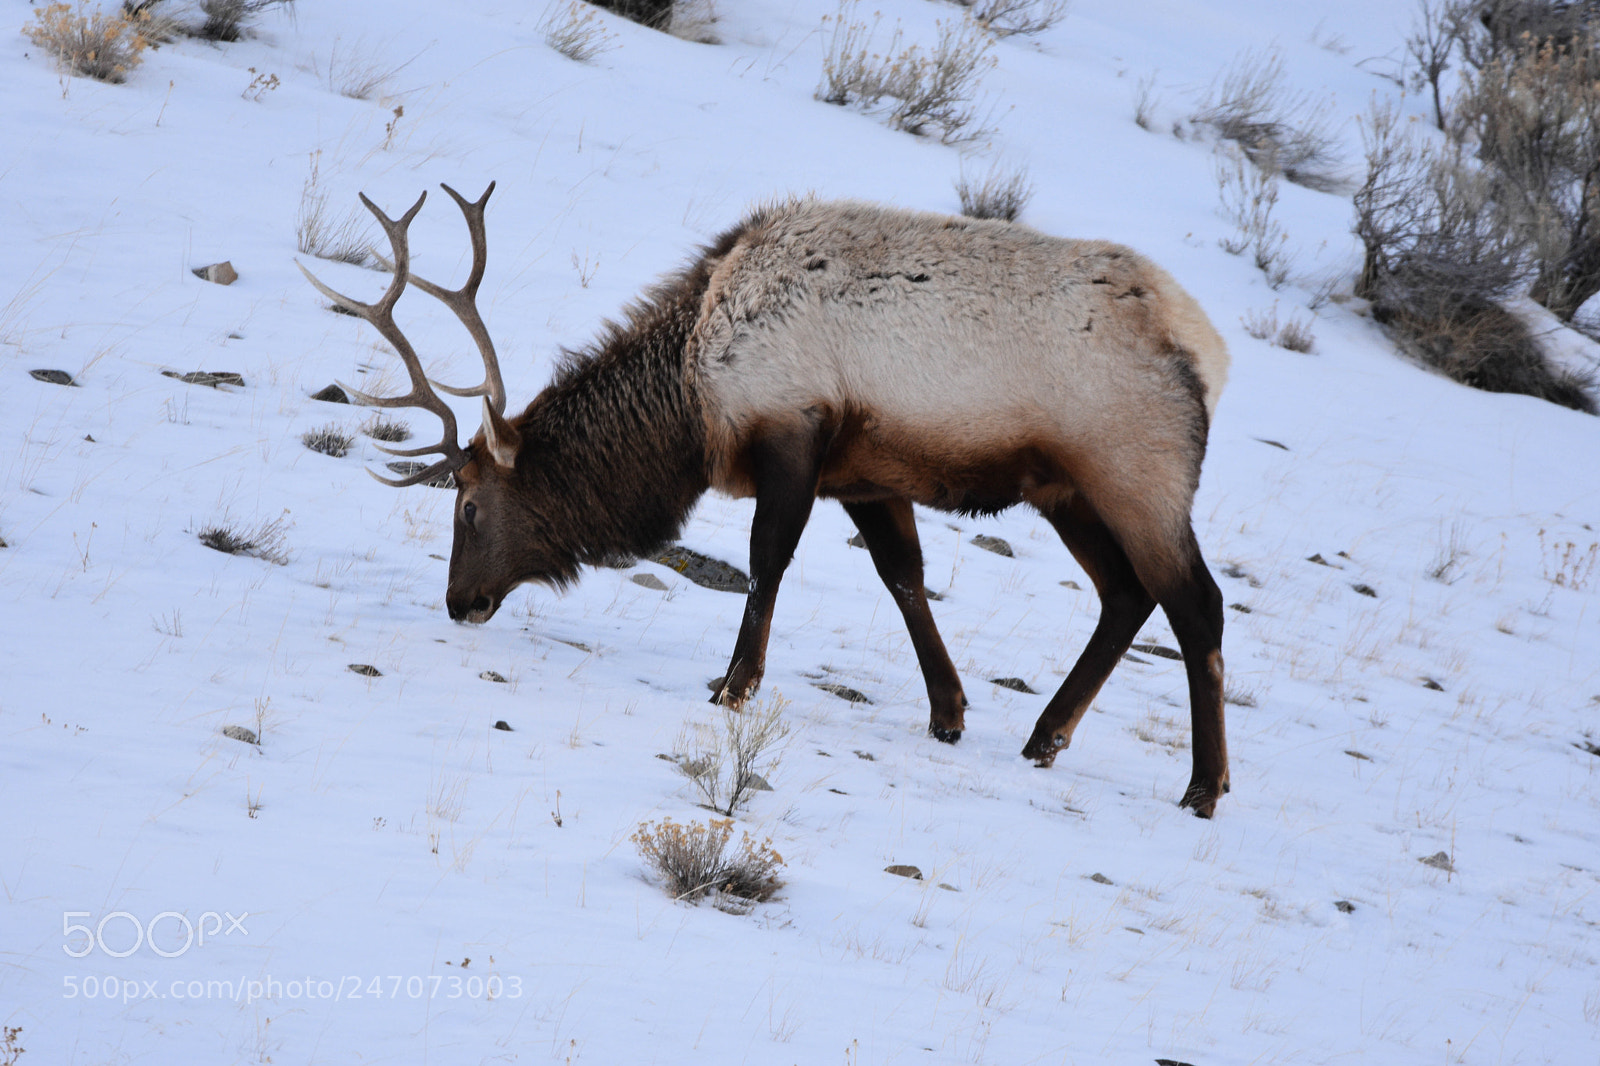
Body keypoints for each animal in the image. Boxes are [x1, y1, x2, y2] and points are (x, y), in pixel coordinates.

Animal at [299, 182, 1233, 817]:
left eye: (468, 505)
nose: (460, 601)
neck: (687, 402)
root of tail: (1210, 353)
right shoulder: (864, 473)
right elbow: (903, 576)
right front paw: (948, 712)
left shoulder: (792, 433)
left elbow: (765, 565)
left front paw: (733, 686)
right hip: (1069, 491)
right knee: (1127, 594)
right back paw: (1046, 735)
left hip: (1136, 473)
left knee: (1196, 603)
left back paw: (1204, 784)